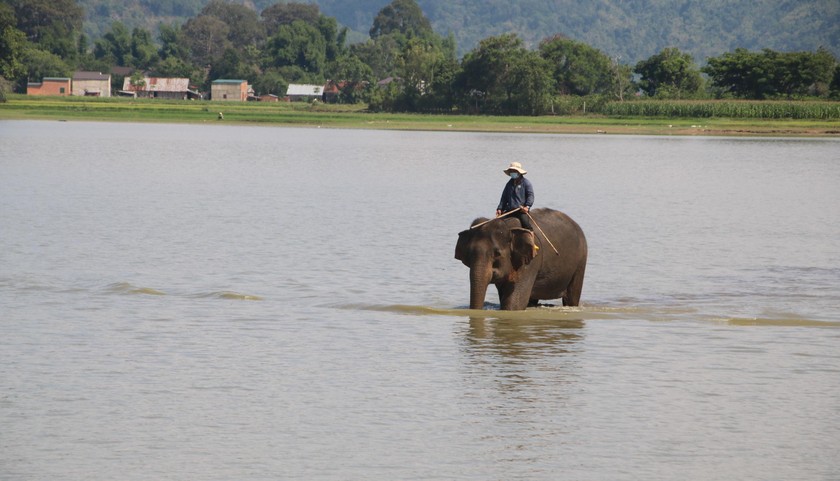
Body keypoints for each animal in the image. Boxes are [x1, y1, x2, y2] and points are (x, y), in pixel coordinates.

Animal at [456, 208, 588, 310]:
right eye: (469, 253)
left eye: (497, 253)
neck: (509, 227)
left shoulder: (531, 262)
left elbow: (514, 304)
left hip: (581, 261)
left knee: (572, 296)